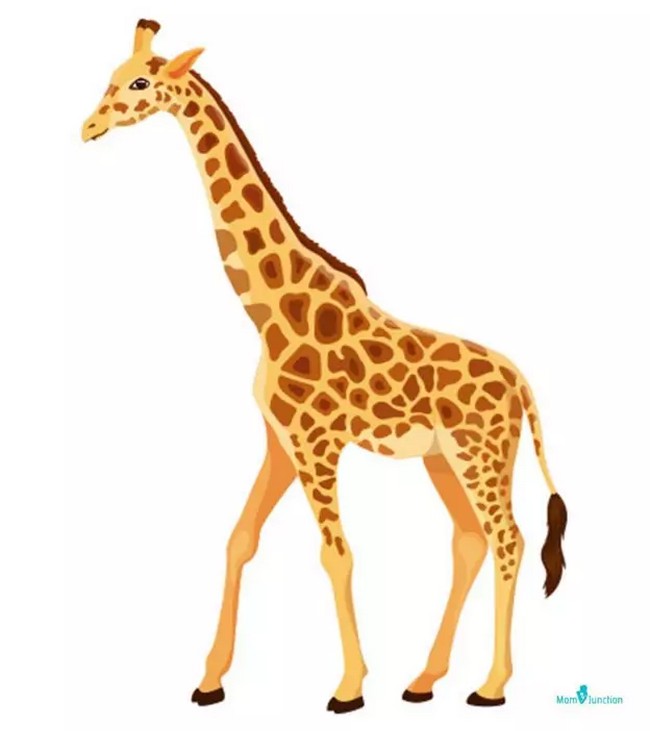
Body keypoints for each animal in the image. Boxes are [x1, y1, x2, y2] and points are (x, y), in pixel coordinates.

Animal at [82, 20, 568, 714]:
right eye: (114, 76)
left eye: (140, 82)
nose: (88, 127)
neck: (269, 310)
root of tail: (522, 384)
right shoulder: (279, 440)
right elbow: (239, 540)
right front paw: (210, 681)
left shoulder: (317, 442)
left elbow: (336, 555)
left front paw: (348, 688)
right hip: (443, 458)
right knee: (471, 541)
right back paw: (424, 681)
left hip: (481, 454)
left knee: (509, 539)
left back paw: (490, 687)